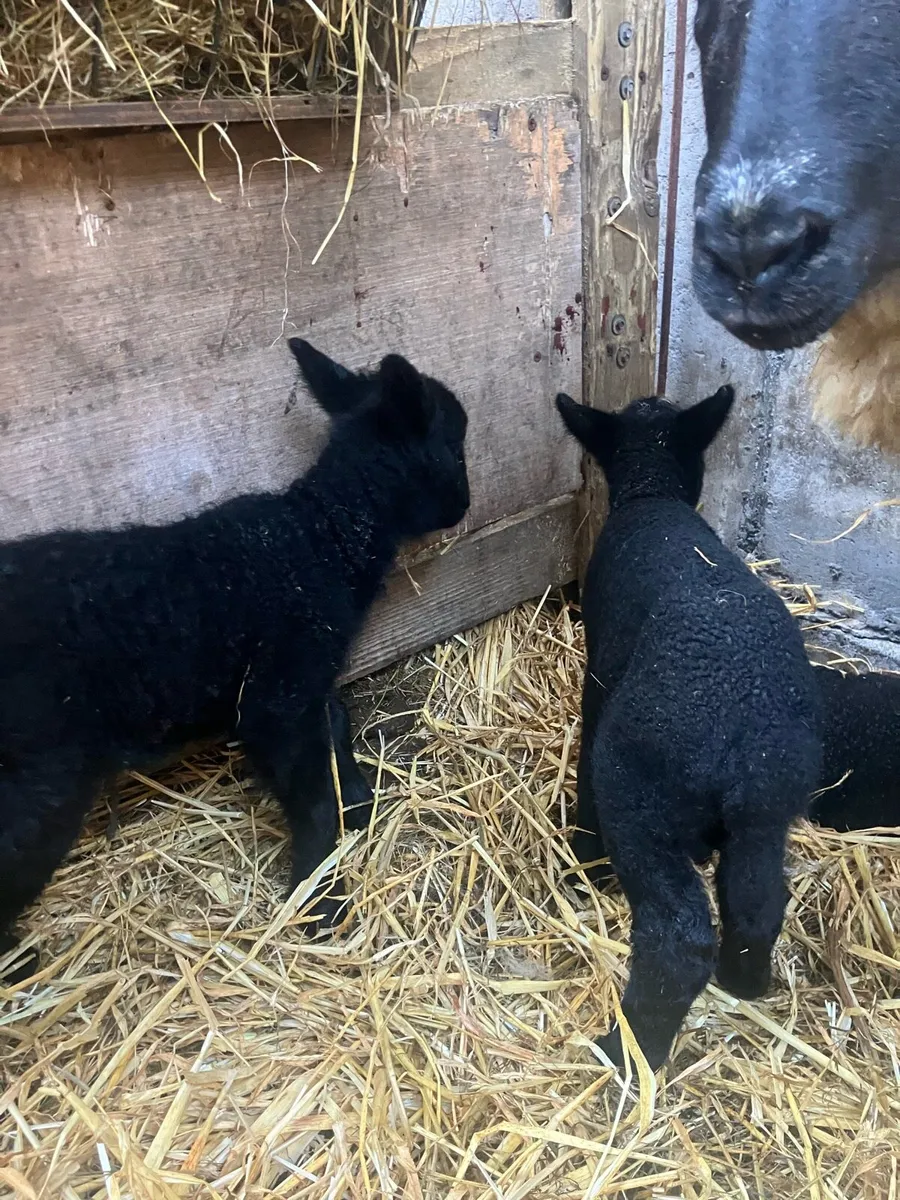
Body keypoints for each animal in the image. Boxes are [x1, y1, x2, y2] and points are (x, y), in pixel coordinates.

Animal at [0, 339, 470, 981]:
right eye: (455, 444)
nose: (464, 505)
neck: (320, 536)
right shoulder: (278, 691)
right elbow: (312, 798)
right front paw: (320, 903)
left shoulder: (306, 670)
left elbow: (336, 724)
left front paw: (356, 797)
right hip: (42, 777)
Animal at [556, 385, 822, 1072]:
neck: (652, 492)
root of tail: (739, 736)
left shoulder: (600, 679)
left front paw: (582, 858)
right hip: (767, 809)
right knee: (757, 902)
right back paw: (744, 982)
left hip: (641, 795)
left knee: (678, 938)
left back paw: (626, 1053)